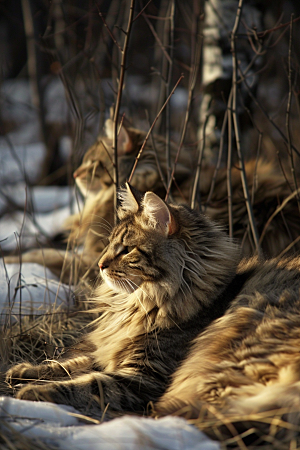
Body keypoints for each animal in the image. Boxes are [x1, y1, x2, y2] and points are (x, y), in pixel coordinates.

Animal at [4, 184, 300, 442]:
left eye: (126, 249)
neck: (139, 304)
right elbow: (68, 364)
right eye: (109, 244)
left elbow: (86, 384)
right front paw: (22, 371)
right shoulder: (111, 352)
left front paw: (32, 392)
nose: (100, 264)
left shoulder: (143, 376)